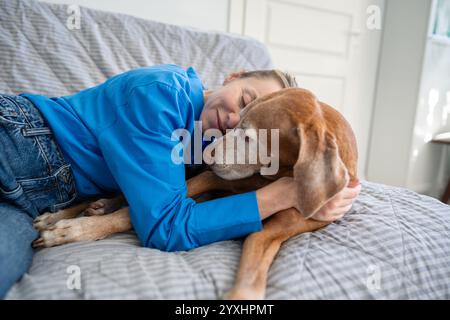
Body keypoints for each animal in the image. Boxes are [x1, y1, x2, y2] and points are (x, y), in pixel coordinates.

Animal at [31, 87, 356, 300]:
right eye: (237, 120)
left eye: (249, 137)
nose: (207, 156)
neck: (280, 174)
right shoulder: (208, 179)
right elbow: (137, 214)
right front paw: (73, 230)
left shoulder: (286, 224)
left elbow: (256, 248)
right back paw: (65, 215)